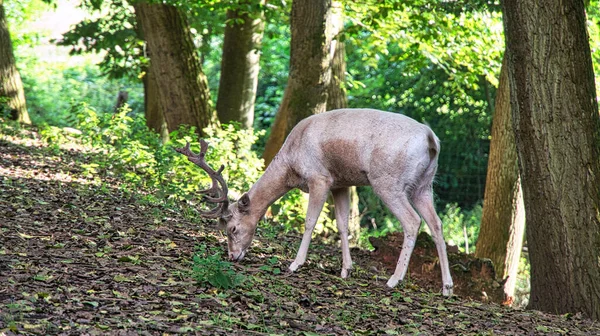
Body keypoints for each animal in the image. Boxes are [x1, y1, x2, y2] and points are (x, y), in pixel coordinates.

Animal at [177, 109, 454, 296]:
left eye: (232, 228)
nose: (233, 257)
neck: (291, 165)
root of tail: (432, 139)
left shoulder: (319, 177)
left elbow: (310, 221)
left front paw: (295, 264)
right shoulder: (341, 183)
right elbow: (342, 225)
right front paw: (346, 270)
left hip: (388, 181)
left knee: (413, 221)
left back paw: (394, 279)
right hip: (424, 185)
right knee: (437, 224)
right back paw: (447, 287)